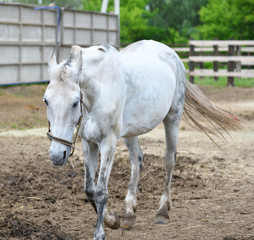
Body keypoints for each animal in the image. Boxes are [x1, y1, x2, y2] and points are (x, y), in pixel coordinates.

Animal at [43, 40, 240, 239]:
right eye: (46, 100)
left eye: (75, 102)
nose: (57, 156)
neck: (100, 88)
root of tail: (172, 54)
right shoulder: (89, 143)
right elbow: (89, 190)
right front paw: (113, 219)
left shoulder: (108, 142)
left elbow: (100, 192)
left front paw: (100, 232)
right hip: (131, 132)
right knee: (137, 160)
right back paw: (129, 212)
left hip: (173, 118)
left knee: (169, 160)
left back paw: (162, 211)